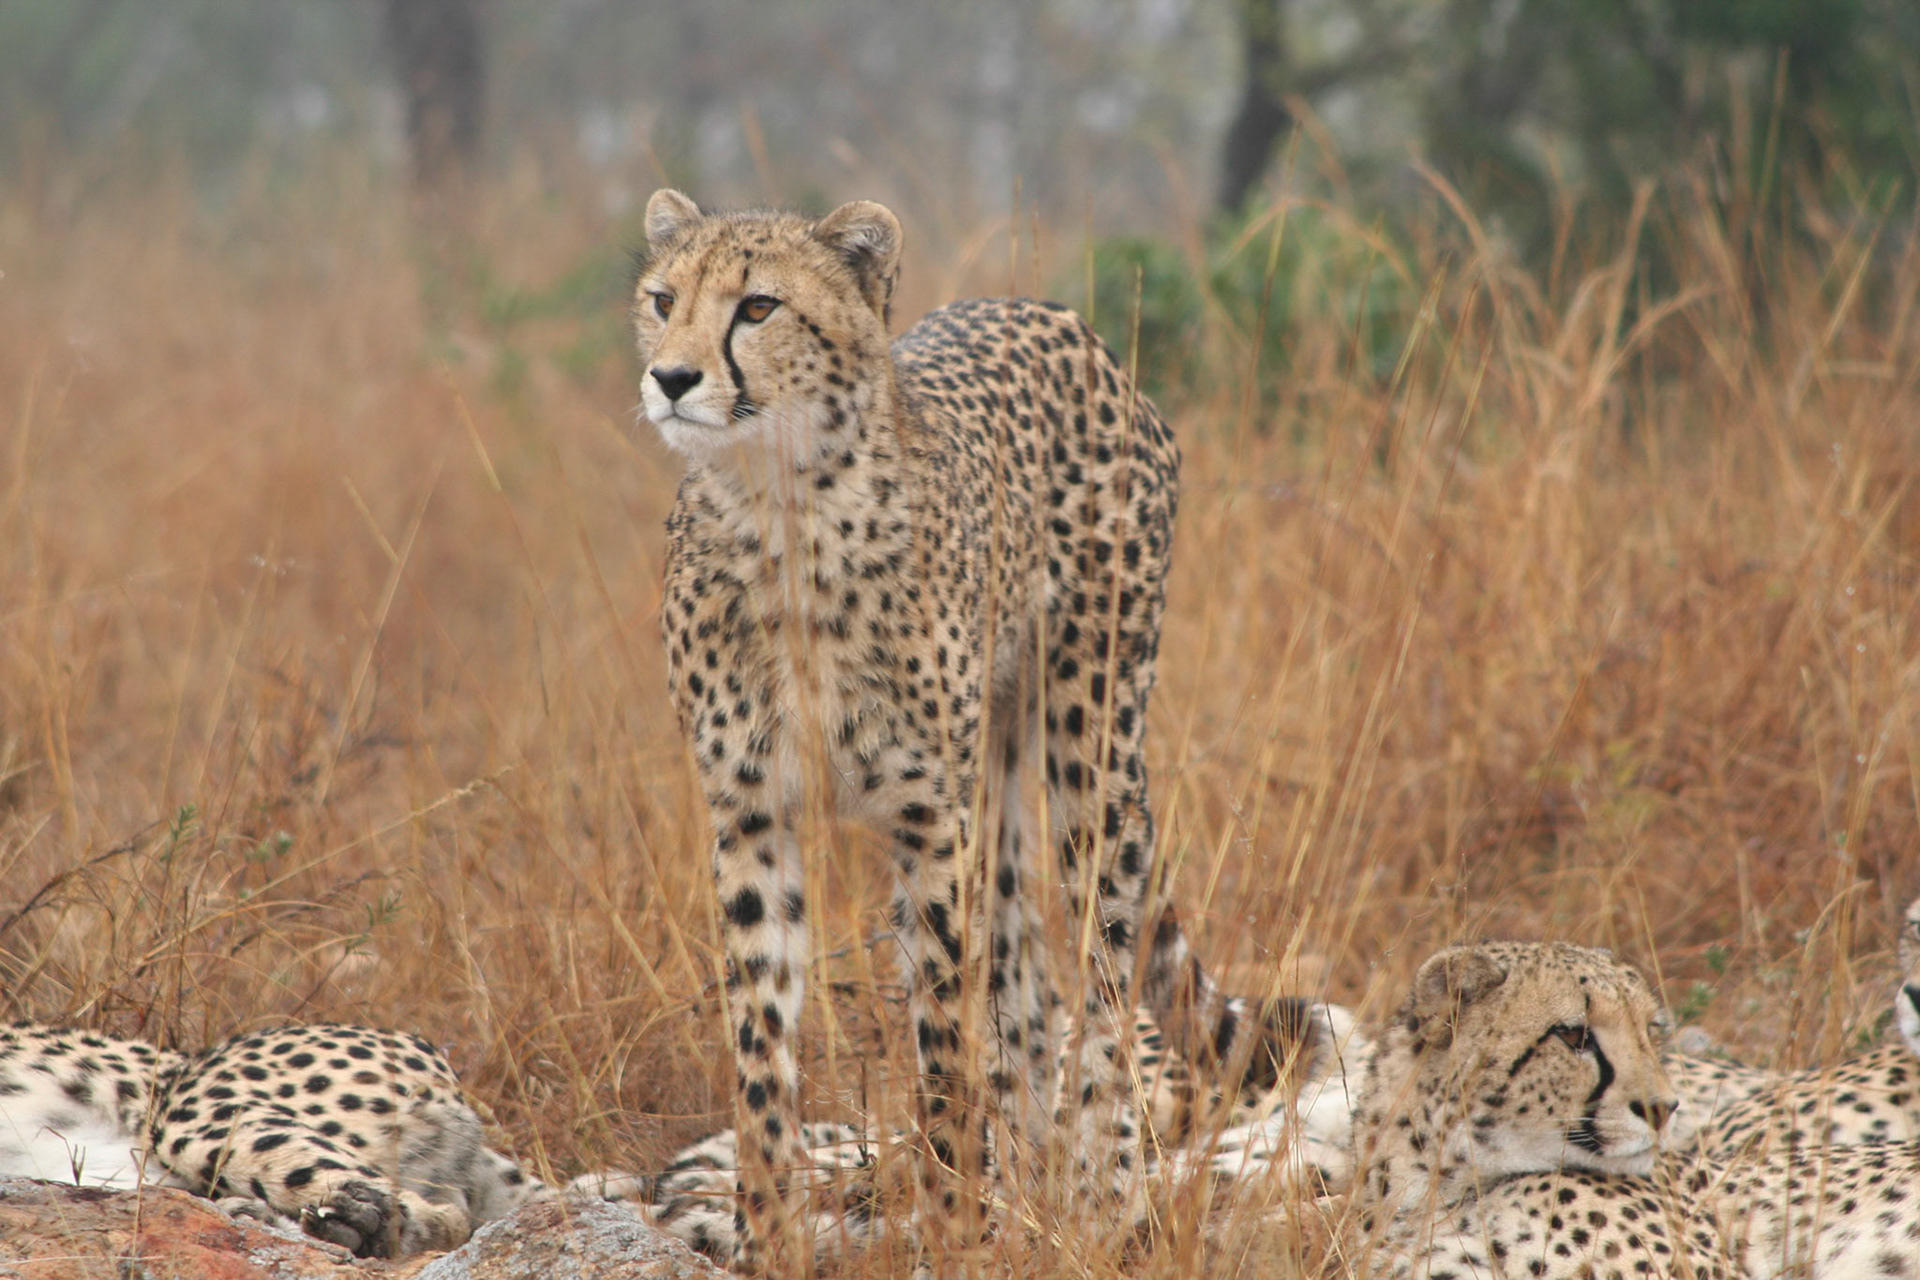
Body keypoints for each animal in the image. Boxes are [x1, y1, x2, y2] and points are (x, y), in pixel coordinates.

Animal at [632, 188, 1323, 1271]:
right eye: (663, 299)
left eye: (758, 307)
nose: (670, 378)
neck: (780, 509)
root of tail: (1057, 314)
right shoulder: (751, 816)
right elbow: (761, 1046)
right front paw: (769, 1233)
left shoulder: (928, 819)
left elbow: (946, 1046)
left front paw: (954, 1226)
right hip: (996, 787)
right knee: (1028, 979)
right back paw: (1033, 1179)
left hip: (1090, 741)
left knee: (1102, 967)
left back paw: (1096, 1195)